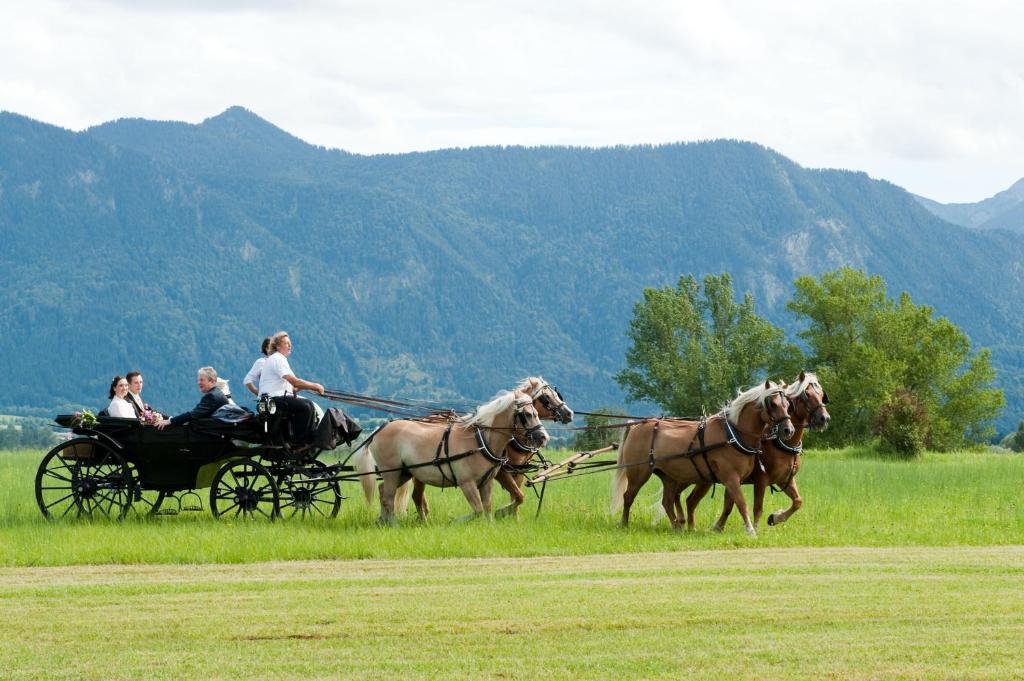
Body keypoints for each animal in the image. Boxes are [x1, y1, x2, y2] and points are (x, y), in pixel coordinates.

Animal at [606, 378, 790, 532]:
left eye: (787, 404)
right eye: (772, 404)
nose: (788, 429)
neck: (733, 434)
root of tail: (636, 426)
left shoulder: (736, 479)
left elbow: (731, 504)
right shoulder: (731, 478)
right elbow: (741, 503)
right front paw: (751, 530)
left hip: (668, 476)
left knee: (668, 501)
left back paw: (677, 527)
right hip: (639, 473)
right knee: (628, 496)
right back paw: (624, 524)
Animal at [679, 372, 831, 532]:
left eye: (821, 395)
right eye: (806, 394)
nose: (824, 418)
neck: (777, 442)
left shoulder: (784, 479)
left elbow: (798, 501)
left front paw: (775, 518)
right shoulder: (760, 480)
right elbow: (756, 507)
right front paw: (755, 529)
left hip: (704, 478)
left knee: (690, 500)